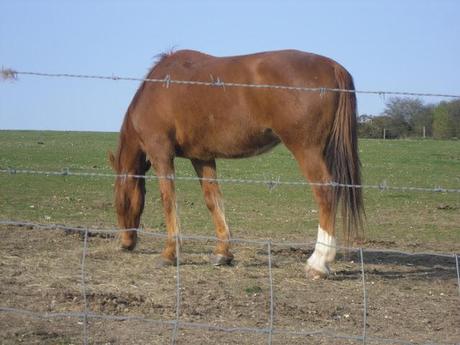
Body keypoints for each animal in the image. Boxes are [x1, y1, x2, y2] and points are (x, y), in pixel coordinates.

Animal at [108, 49, 362, 278]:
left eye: (120, 201)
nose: (125, 243)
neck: (157, 88)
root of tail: (333, 67)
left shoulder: (161, 153)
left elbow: (169, 201)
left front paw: (170, 253)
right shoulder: (202, 157)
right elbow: (213, 200)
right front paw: (223, 253)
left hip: (306, 150)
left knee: (325, 192)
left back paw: (318, 263)